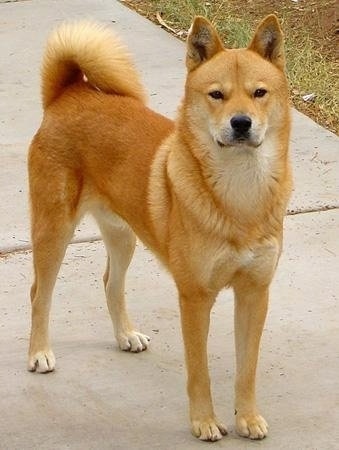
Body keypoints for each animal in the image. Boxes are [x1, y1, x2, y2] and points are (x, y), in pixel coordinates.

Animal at [27, 14, 292, 442]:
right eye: (216, 95)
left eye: (259, 93)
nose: (241, 122)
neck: (239, 194)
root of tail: (69, 93)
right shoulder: (195, 299)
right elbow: (199, 371)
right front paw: (204, 421)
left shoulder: (255, 293)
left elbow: (247, 369)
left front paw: (248, 417)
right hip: (54, 231)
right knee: (40, 293)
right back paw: (39, 352)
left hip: (123, 235)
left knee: (110, 282)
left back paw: (125, 335)